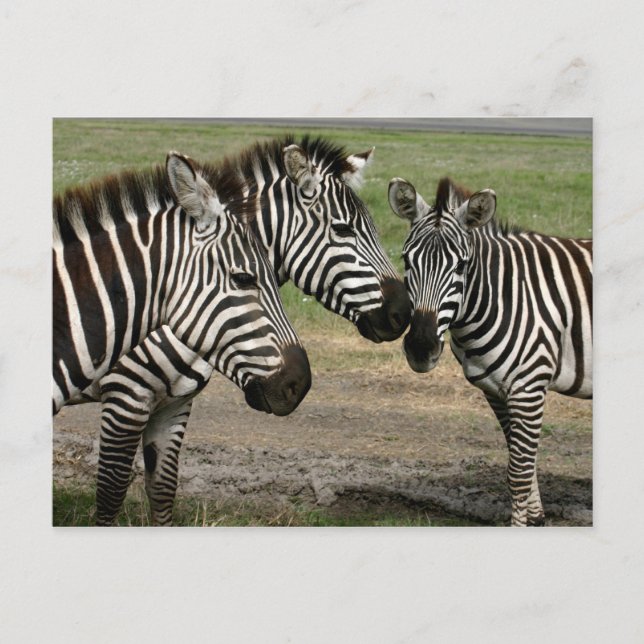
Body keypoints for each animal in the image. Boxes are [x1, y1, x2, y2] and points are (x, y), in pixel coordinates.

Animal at [80, 135, 412, 526]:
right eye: (343, 229)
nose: (404, 313)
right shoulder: (126, 396)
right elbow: (110, 495)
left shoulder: (175, 403)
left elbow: (162, 491)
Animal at [388, 176, 592, 526]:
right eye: (406, 260)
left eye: (461, 265)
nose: (421, 348)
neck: (503, 294)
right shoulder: (496, 390)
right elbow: (521, 459)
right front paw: (536, 517)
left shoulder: (529, 387)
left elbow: (518, 473)